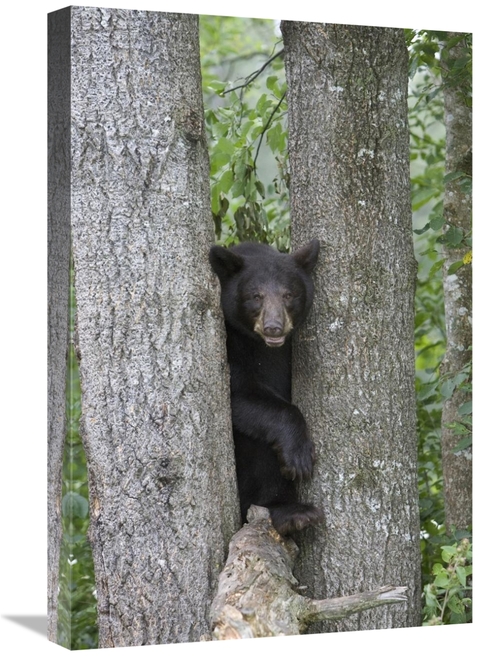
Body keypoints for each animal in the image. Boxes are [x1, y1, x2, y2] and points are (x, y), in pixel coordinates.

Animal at [209, 239, 324, 535]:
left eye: (288, 294)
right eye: (256, 295)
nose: (274, 327)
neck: (263, 346)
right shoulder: (230, 343)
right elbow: (239, 392)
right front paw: (299, 455)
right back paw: (290, 512)